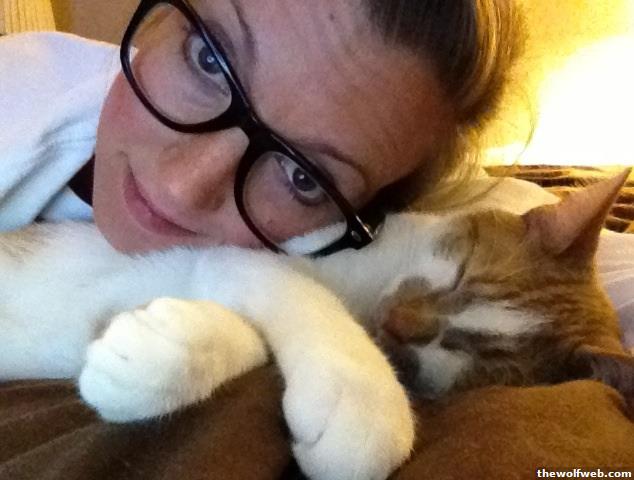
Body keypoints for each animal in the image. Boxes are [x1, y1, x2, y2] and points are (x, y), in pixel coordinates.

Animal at [0, 171, 632, 480]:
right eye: (459, 272)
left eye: (463, 351)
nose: (397, 322)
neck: (369, 295)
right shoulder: (243, 253)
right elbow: (300, 293)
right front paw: (362, 400)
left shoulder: (218, 264)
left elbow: (249, 338)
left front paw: (151, 349)